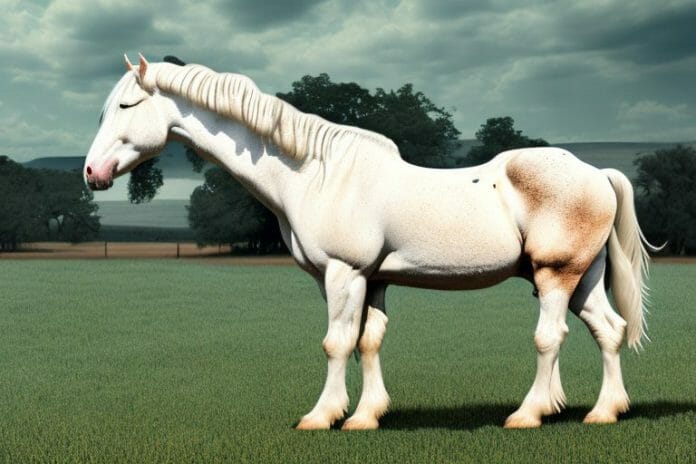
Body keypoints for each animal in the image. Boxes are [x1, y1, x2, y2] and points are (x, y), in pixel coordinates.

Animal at [84, 54, 658, 430]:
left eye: (127, 104)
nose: (92, 172)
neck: (316, 172)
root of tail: (596, 172)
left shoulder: (344, 273)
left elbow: (336, 342)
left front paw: (321, 416)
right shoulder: (372, 279)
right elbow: (368, 342)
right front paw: (366, 416)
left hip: (556, 275)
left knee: (550, 337)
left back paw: (528, 414)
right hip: (584, 278)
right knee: (609, 331)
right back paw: (605, 412)